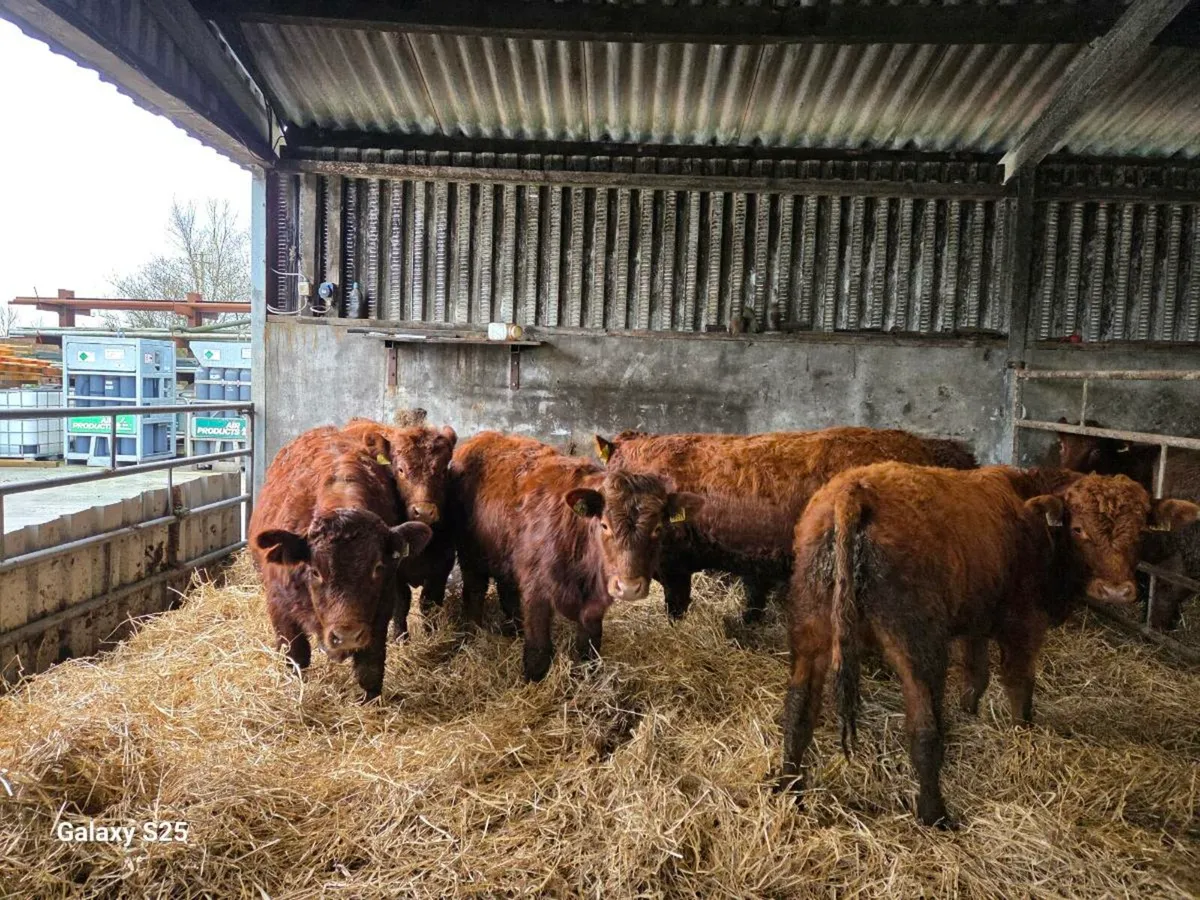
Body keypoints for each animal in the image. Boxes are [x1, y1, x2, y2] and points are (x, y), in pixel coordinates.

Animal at [249, 427, 433, 700]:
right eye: (315, 571)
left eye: (377, 568)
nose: (346, 635)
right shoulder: (280, 607)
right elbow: (296, 657)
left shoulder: (380, 611)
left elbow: (370, 666)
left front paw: (369, 701)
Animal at [340, 418, 458, 637]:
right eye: (401, 470)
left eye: (442, 470)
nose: (424, 511)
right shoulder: (392, 571)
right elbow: (401, 603)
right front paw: (400, 637)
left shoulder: (442, 565)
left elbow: (429, 602)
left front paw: (431, 634)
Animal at [447, 431, 703, 682]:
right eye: (604, 525)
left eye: (658, 528)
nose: (629, 588)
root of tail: (483, 437)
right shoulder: (536, 591)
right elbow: (539, 649)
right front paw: (532, 680)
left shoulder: (595, 602)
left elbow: (589, 647)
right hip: (470, 557)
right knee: (474, 593)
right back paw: (472, 635)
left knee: (506, 590)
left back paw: (513, 631)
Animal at [777, 461, 1199, 826]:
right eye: (1078, 529)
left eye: (1142, 531)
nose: (1115, 591)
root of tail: (855, 489)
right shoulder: (1024, 624)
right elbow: (1018, 684)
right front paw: (1023, 737)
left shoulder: (974, 622)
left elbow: (975, 674)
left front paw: (970, 712)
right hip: (917, 645)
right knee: (924, 729)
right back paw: (935, 815)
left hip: (810, 632)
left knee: (798, 711)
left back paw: (788, 789)